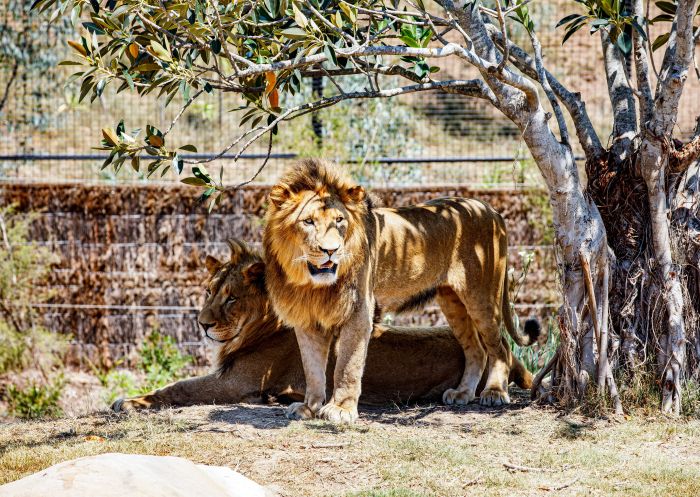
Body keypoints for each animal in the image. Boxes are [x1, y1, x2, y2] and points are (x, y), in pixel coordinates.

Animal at [112, 240, 533, 412]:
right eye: (208, 291)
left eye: (231, 298)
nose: (202, 325)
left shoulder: (237, 382)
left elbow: (178, 387)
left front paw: (129, 401)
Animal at [263, 159, 540, 423]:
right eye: (308, 222)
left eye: (339, 221)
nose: (330, 251)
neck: (311, 284)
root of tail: (490, 209)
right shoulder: (306, 319)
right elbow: (312, 370)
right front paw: (309, 408)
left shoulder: (359, 313)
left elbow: (347, 366)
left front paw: (341, 409)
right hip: (452, 302)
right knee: (477, 350)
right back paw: (463, 393)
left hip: (481, 296)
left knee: (500, 347)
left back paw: (494, 392)